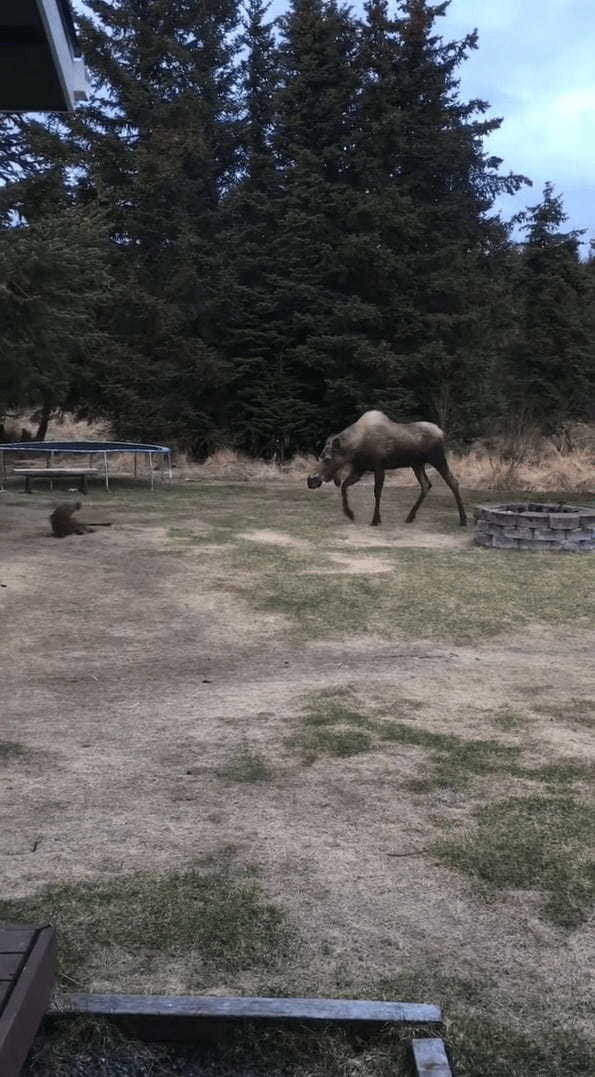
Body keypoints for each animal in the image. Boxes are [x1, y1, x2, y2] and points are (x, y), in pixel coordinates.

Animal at [308, 409, 467, 527]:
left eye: (327, 459)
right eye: (320, 456)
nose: (311, 480)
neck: (354, 449)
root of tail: (442, 433)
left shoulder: (378, 467)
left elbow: (377, 492)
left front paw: (375, 519)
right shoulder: (360, 469)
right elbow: (344, 486)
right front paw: (350, 513)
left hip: (437, 459)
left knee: (453, 482)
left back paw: (463, 519)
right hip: (417, 464)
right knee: (426, 484)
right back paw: (410, 516)